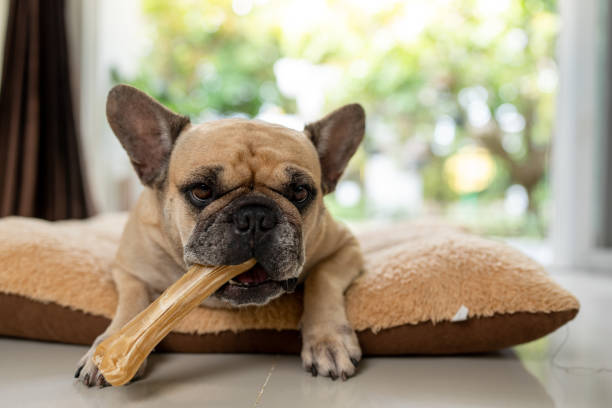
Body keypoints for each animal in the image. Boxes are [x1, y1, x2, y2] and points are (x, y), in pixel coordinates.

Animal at [75, 85, 364, 386]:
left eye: (300, 193)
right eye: (201, 190)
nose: (254, 216)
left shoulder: (346, 246)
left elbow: (323, 277)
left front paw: (328, 340)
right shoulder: (129, 269)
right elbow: (133, 302)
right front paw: (109, 349)